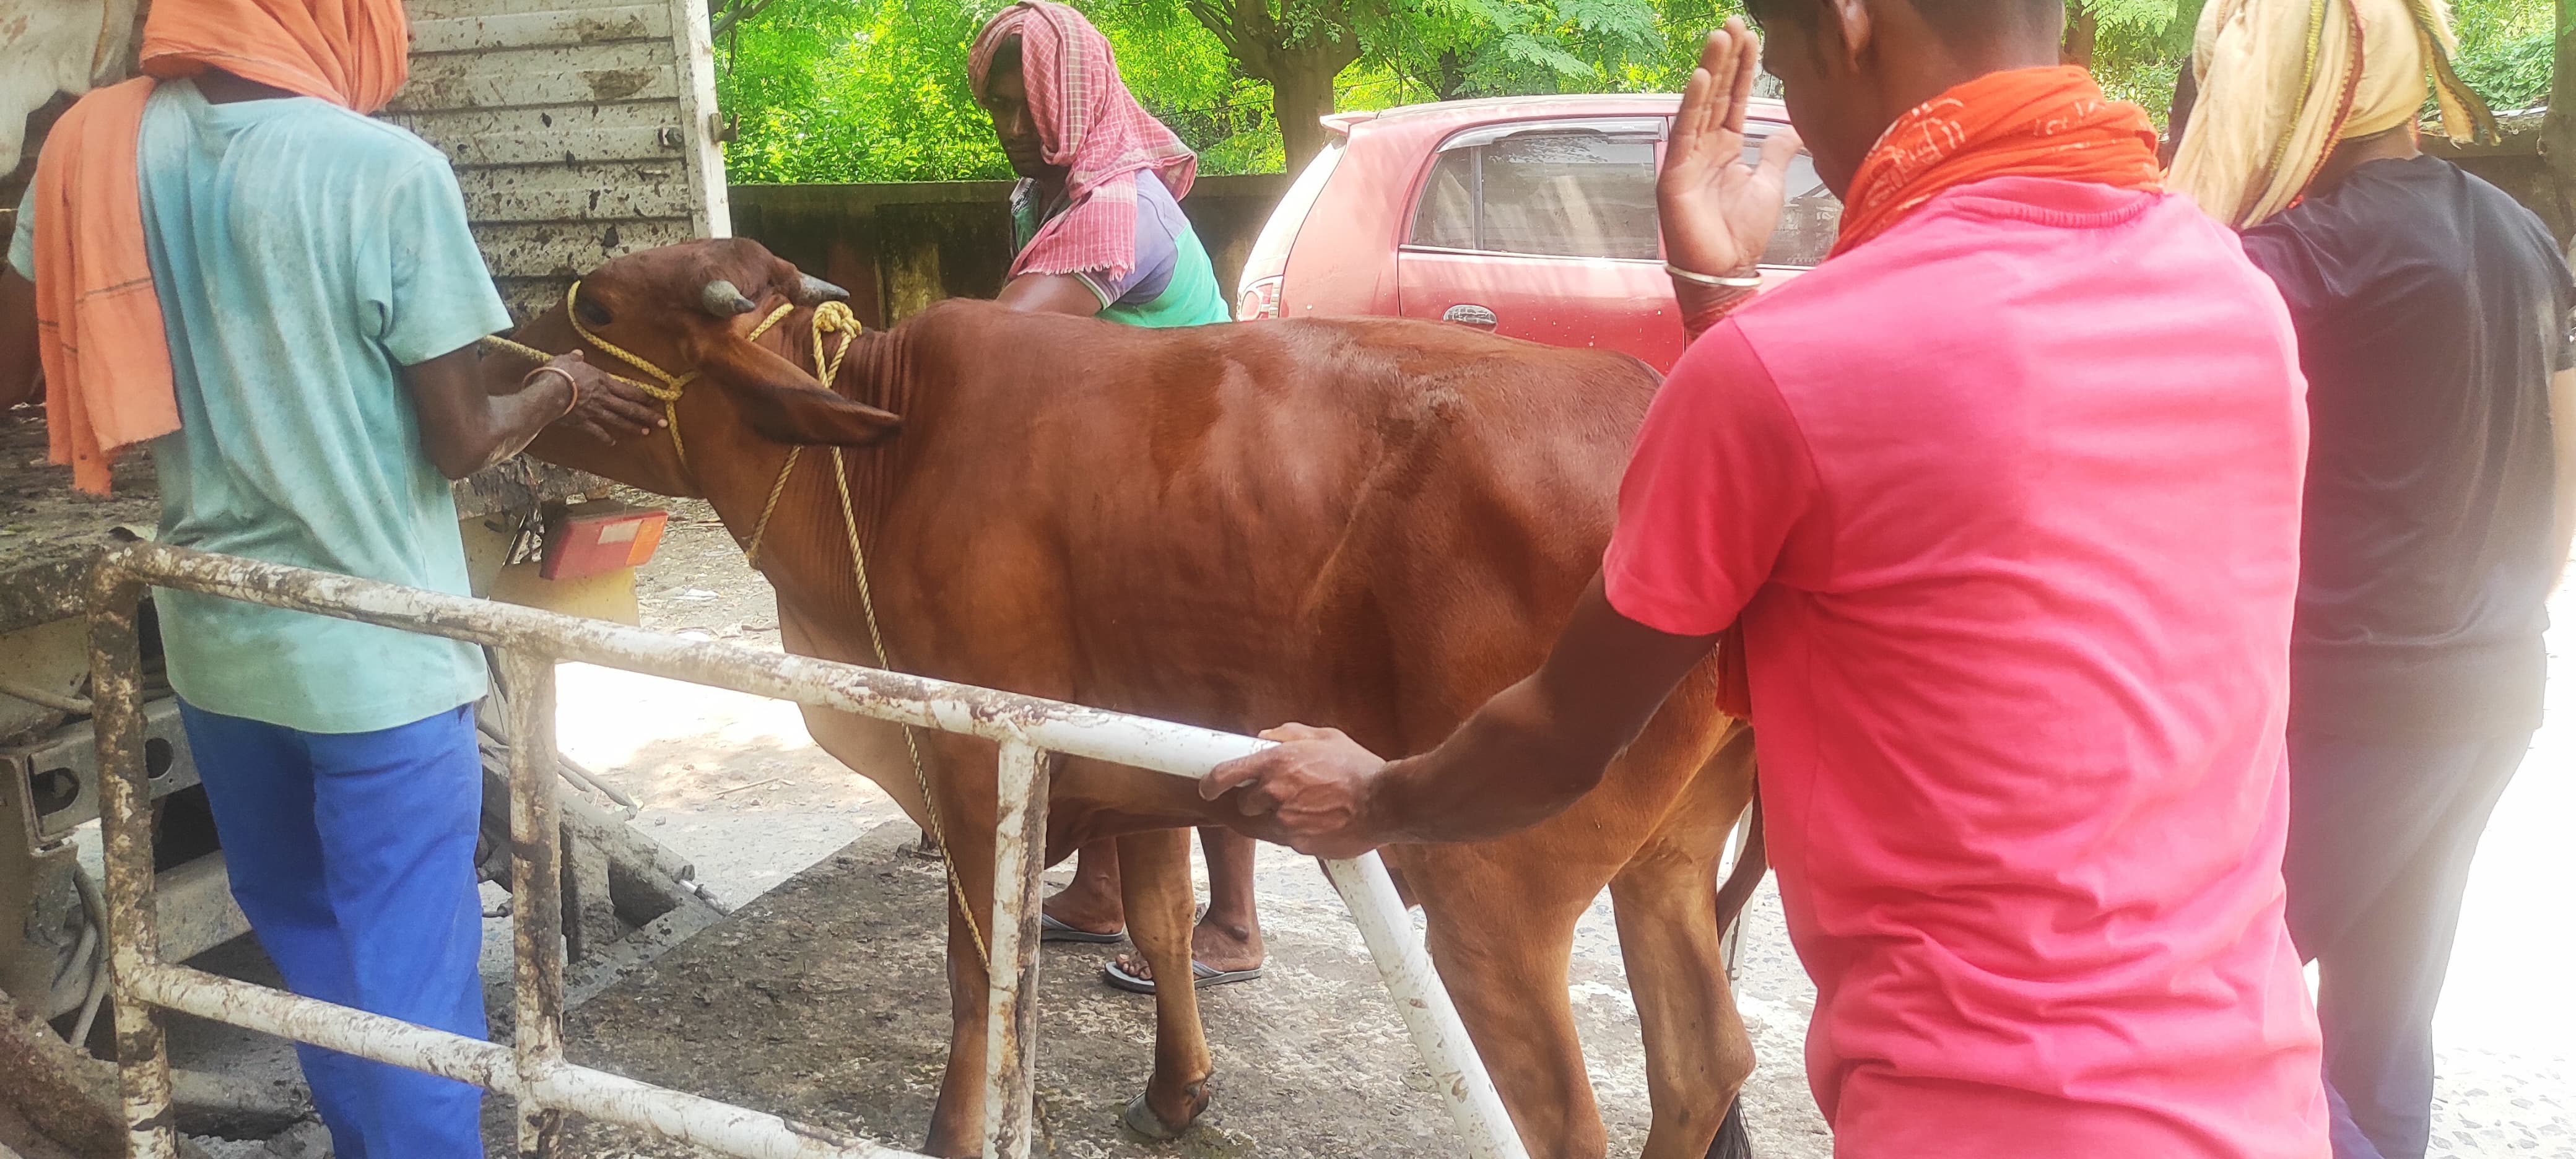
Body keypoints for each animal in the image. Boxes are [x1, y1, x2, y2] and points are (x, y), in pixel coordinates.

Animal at [518, 238, 1772, 1158]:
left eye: (598, 303)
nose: (497, 353)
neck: (875, 463)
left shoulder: (976, 766)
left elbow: (980, 969)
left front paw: (954, 1127)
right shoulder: (1147, 764)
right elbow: (1162, 921)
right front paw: (1178, 1093)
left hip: (1495, 894)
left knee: (1568, 1112)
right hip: (1666, 860)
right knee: (1703, 1061)